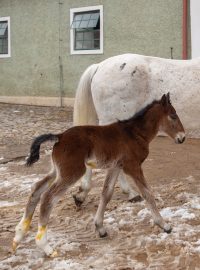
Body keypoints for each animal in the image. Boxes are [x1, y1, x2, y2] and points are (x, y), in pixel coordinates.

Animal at [12, 94, 185, 256]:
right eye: (173, 116)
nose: (182, 137)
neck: (134, 133)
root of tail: (59, 136)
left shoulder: (115, 167)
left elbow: (106, 194)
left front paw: (100, 228)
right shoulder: (132, 167)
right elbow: (147, 193)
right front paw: (164, 225)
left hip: (57, 171)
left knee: (36, 188)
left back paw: (18, 236)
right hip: (72, 172)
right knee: (48, 197)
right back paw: (45, 246)